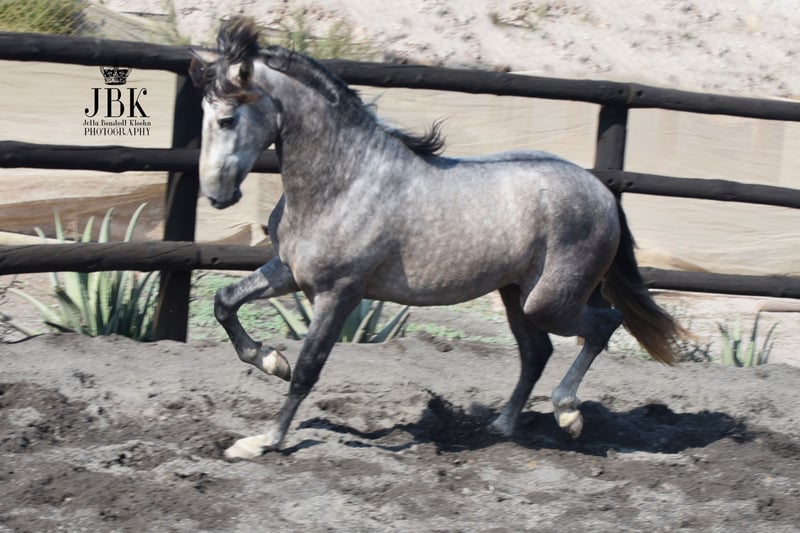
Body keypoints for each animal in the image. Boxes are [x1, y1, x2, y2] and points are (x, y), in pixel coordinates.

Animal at [189, 17, 687, 460]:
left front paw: (261, 442)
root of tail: (603, 192)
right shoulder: (290, 272)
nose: (217, 194)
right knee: (536, 352)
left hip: (549, 302)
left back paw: (568, 415)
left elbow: (308, 371)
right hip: (516, 293)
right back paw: (500, 426)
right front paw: (270, 359)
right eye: (204, 114)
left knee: (603, 325)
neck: (345, 182)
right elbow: (224, 301)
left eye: (228, 118)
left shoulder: (340, 293)